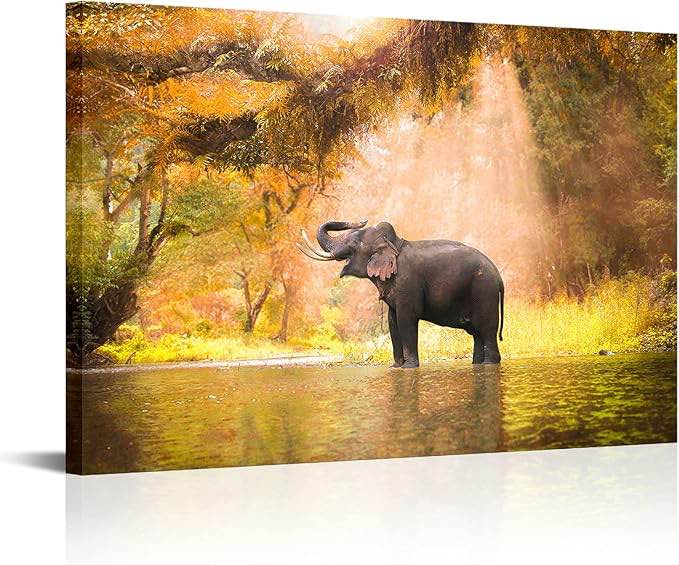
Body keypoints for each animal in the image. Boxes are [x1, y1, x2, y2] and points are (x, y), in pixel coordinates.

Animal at [296, 220, 504, 368]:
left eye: (354, 242)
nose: (361, 220)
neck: (394, 244)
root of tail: (499, 277)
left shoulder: (408, 283)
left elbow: (406, 319)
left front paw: (409, 367)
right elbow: (392, 321)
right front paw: (395, 367)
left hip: (484, 292)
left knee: (486, 330)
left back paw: (489, 364)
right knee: (477, 334)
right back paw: (477, 364)